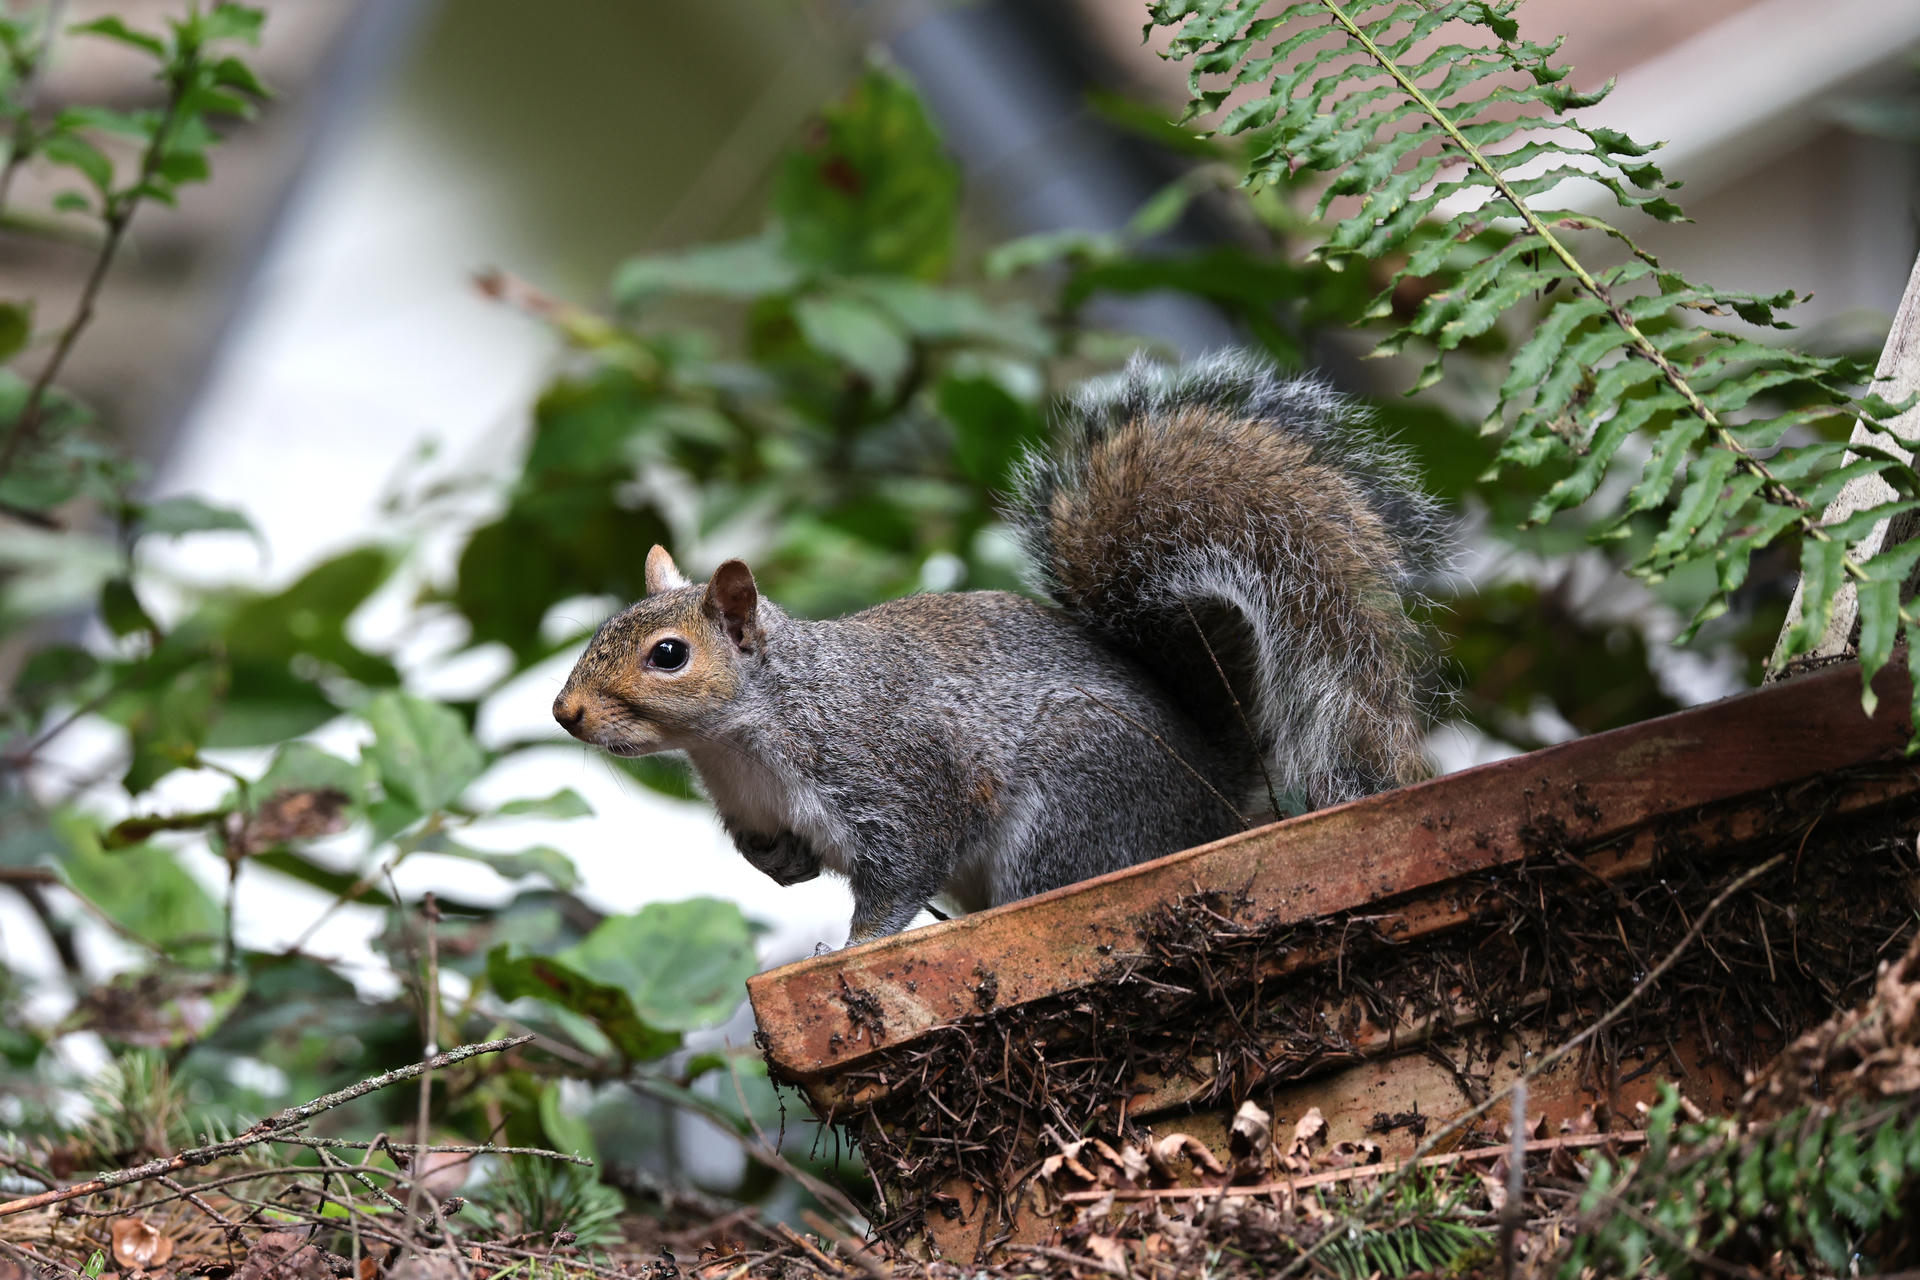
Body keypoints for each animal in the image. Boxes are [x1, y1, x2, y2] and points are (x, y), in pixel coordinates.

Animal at [552, 351, 1449, 946]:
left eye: (669, 655)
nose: (565, 713)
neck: (742, 739)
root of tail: (1216, 788)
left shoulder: (900, 779)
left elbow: (901, 875)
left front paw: (859, 945)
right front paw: (785, 866)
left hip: (1076, 804)